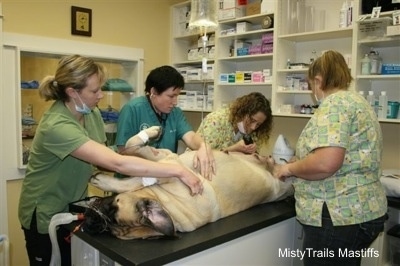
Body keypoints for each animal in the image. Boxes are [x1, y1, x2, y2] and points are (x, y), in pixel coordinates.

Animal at [83, 126, 292, 239]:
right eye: (109, 230)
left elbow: (131, 152)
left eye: (113, 209)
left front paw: (103, 180)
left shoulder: (168, 161)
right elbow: (132, 155)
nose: (91, 220)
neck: (166, 202)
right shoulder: (166, 159)